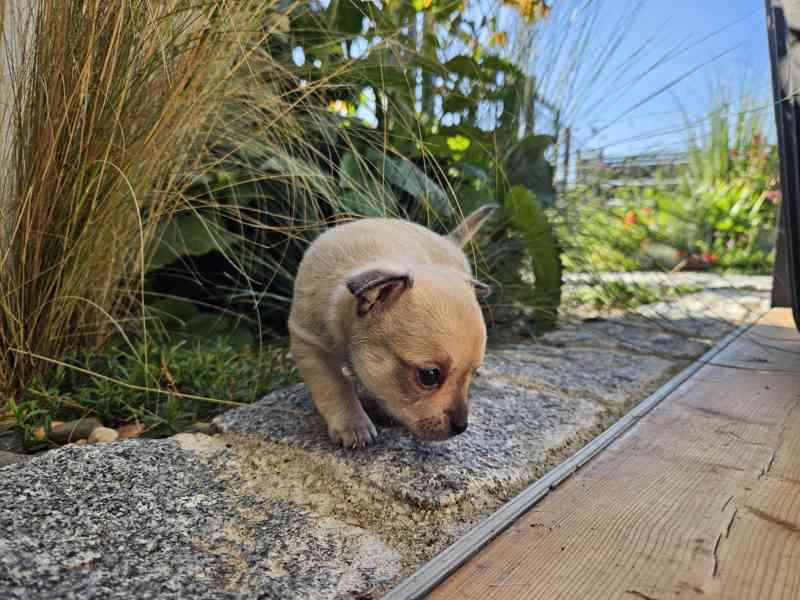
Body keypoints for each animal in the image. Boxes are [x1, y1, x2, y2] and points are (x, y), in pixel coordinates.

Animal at [288, 205, 494, 446]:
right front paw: (353, 423)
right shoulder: (310, 345)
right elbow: (335, 386)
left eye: (470, 373)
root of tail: (447, 239)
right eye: (429, 376)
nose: (462, 427)